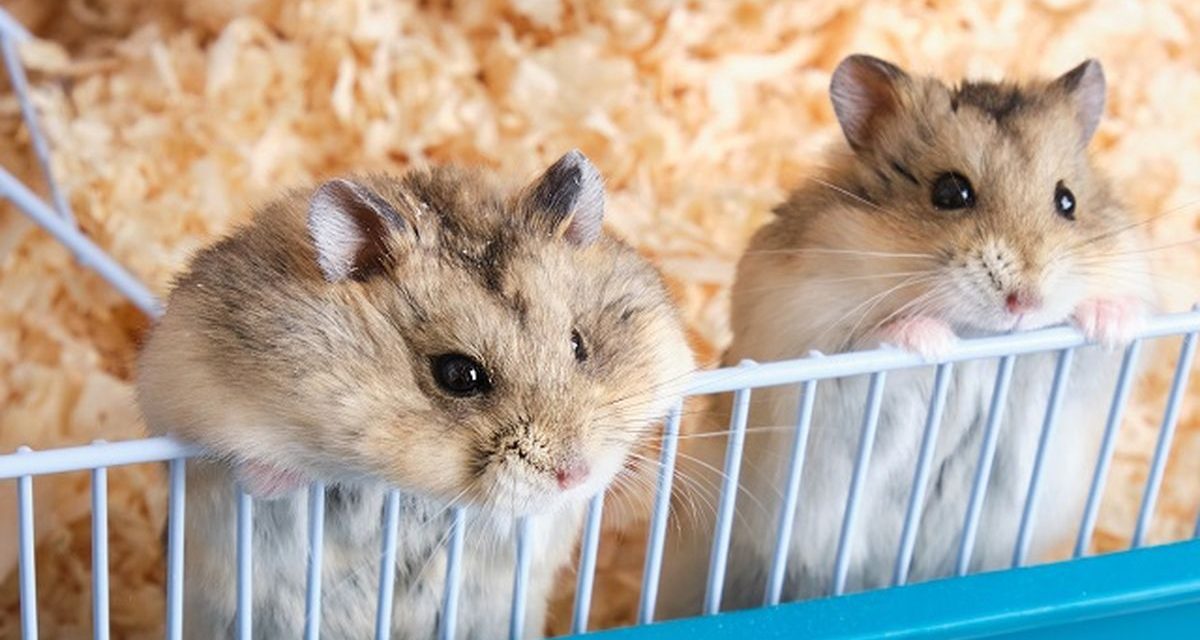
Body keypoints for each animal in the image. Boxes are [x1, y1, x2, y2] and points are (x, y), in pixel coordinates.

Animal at [659, 56, 1153, 615]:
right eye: (950, 192)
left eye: (1067, 201)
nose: (1023, 302)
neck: (983, 339)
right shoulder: (810, 346)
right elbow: (874, 338)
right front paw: (933, 343)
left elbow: (1100, 342)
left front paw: (1113, 323)